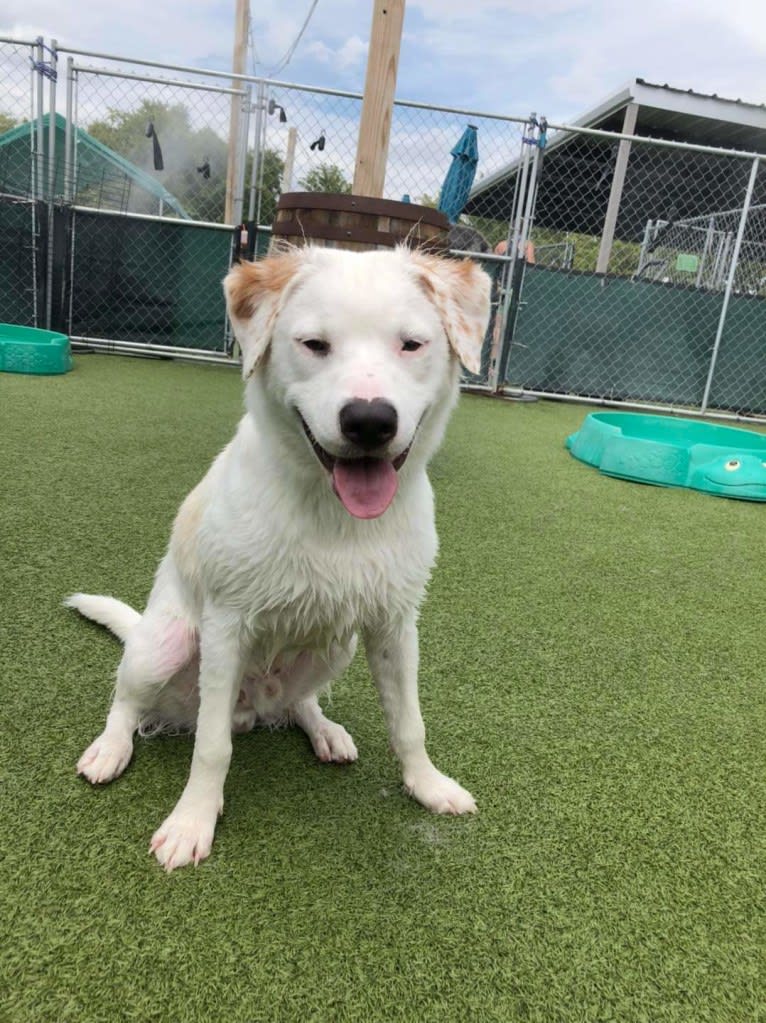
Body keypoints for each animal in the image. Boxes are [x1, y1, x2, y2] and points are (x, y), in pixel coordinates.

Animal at [70, 241, 490, 871]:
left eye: (412, 344)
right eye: (314, 344)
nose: (370, 420)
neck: (335, 516)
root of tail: (254, 706)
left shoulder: (395, 626)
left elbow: (409, 723)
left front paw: (427, 785)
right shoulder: (226, 628)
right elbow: (211, 747)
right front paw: (192, 821)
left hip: (337, 646)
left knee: (299, 703)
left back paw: (325, 731)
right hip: (164, 644)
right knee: (128, 702)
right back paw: (110, 749)